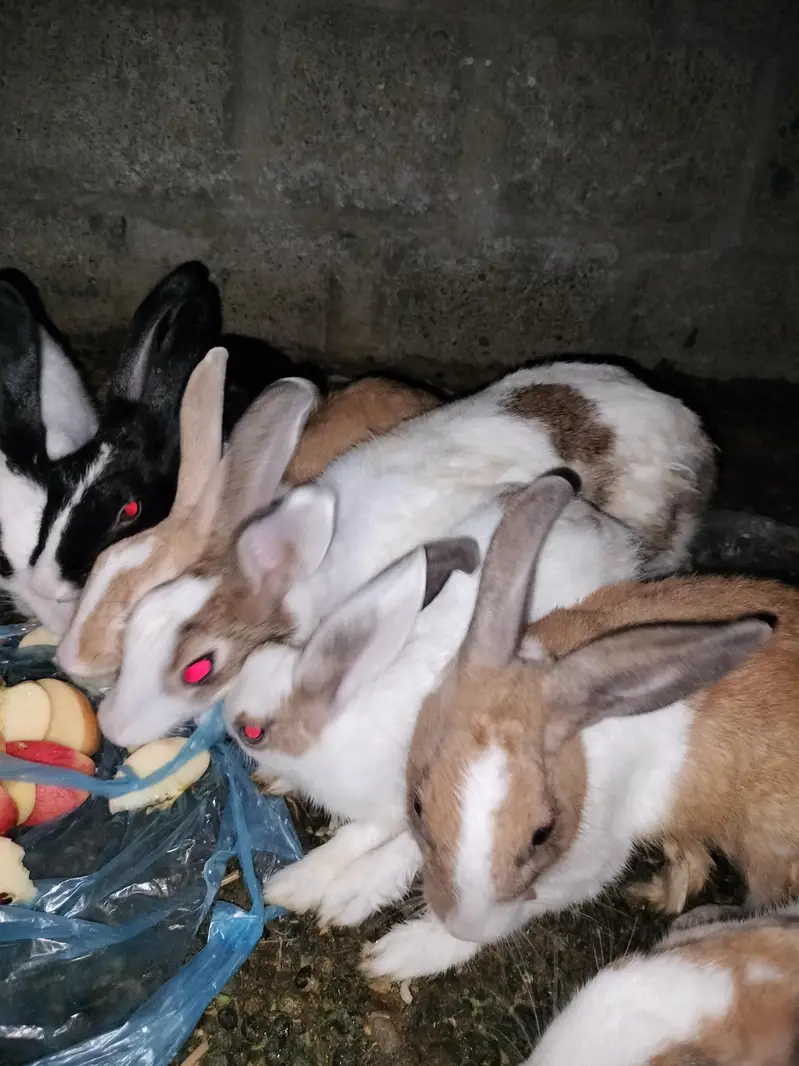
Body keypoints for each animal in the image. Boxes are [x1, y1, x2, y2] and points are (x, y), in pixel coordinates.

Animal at [221, 474, 645, 955]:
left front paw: (293, 886)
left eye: (252, 731)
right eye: (256, 660)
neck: (334, 730)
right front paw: (275, 781)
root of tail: (608, 529)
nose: (223, 719)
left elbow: (353, 837)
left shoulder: (392, 805)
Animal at [384, 472, 799, 984]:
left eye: (542, 833)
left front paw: (399, 953)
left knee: (763, 896)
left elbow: (536, 903)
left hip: (765, 845)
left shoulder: (593, 861)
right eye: (418, 806)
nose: (464, 924)